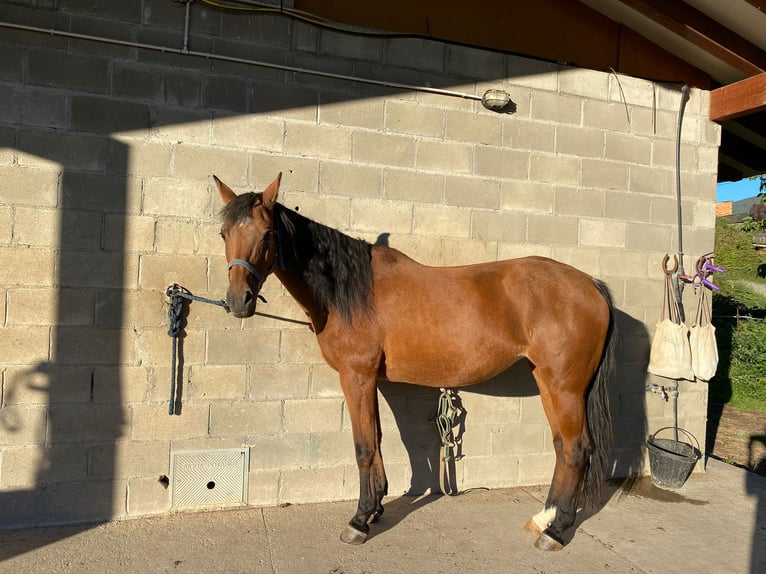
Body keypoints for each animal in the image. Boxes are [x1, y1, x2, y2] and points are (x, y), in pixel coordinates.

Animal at [216, 176, 616, 552]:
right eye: (223, 233)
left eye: (267, 233)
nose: (238, 301)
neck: (350, 292)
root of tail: (591, 285)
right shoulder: (372, 381)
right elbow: (377, 439)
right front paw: (376, 508)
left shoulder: (356, 376)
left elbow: (364, 446)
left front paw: (359, 521)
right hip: (547, 382)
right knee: (562, 447)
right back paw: (544, 519)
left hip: (565, 387)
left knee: (577, 450)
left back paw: (557, 532)